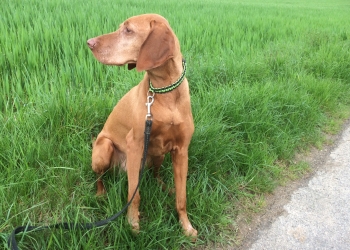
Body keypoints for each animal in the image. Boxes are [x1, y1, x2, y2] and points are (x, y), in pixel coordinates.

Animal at [86, 13, 198, 238]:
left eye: (128, 30)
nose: (89, 42)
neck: (164, 90)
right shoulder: (135, 144)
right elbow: (134, 195)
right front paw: (133, 224)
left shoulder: (182, 150)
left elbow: (182, 197)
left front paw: (186, 226)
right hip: (105, 150)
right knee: (99, 177)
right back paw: (100, 193)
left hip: (158, 154)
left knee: (155, 175)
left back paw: (164, 187)